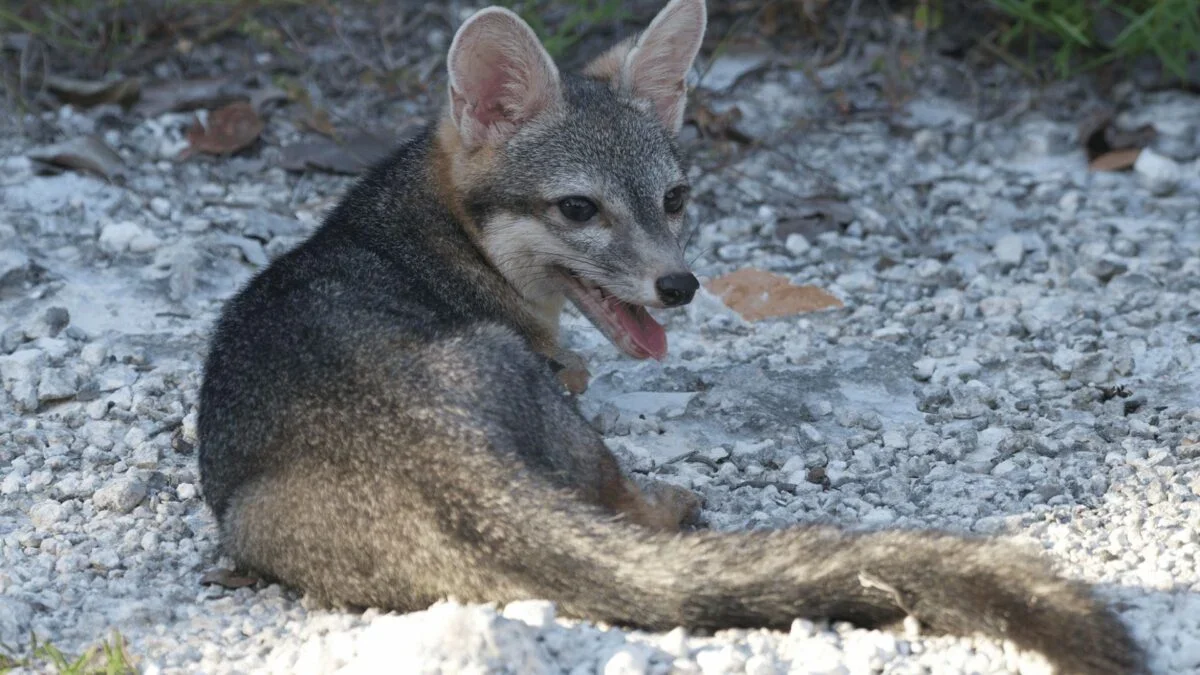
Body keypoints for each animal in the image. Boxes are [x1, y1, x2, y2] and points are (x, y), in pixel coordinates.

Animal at [196, 1, 1145, 672]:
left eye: (676, 198)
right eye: (579, 209)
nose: (679, 286)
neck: (423, 229)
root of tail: (436, 455)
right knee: (618, 494)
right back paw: (670, 504)